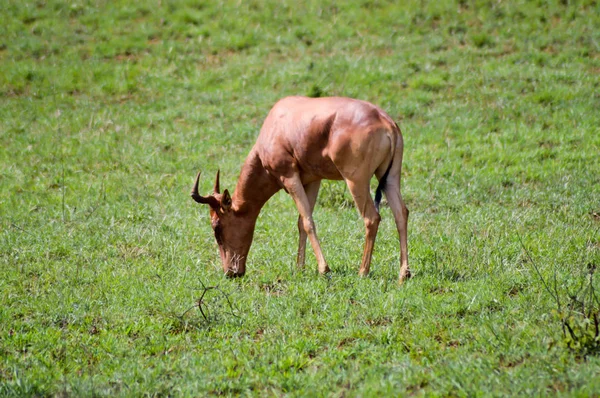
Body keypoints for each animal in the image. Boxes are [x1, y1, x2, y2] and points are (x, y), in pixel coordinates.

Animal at [190, 96, 410, 282]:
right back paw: (404, 273)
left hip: (355, 180)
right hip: (389, 177)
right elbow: (300, 222)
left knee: (371, 218)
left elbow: (307, 221)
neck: (277, 122)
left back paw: (363, 271)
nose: (231, 272)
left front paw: (324, 269)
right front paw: (300, 267)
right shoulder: (313, 180)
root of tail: (386, 122)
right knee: (401, 213)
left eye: (217, 227)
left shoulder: (289, 176)